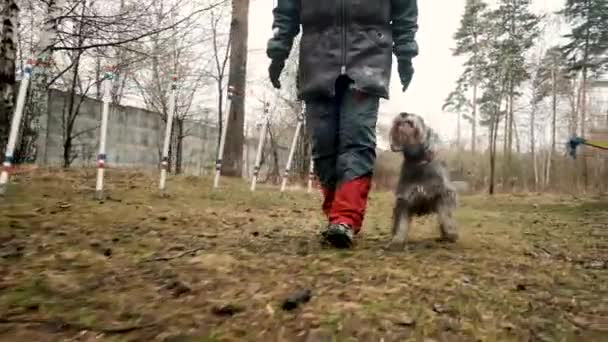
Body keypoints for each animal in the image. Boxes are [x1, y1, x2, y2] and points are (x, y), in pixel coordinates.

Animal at [388, 113, 458, 250]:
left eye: (419, 118)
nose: (403, 113)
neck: (418, 163)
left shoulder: (441, 194)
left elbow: (445, 216)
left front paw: (450, 233)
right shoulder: (404, 199)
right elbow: (401, 223)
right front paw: (397, 240)